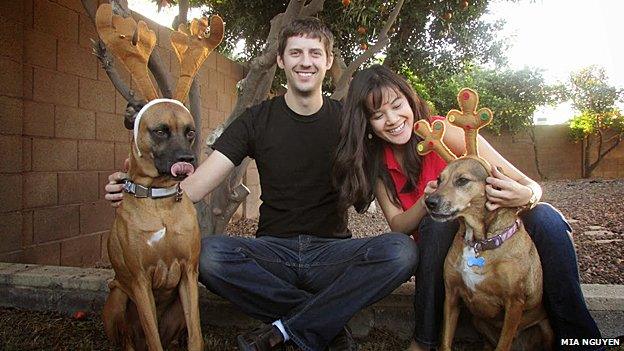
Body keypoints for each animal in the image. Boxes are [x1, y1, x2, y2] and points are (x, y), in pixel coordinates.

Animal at [101, 99, 201, 351]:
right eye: (160, 131)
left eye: (190, 132)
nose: (188, 159)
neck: (159, 199)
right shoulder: (140, 280)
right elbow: (152, 336)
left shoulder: (189, 272)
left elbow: (196, 335)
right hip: (117, 297)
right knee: (127, 339)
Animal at [424, 158, 552, 350]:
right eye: (439, 181)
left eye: (462, 180)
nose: (429, 202)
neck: (478, 242)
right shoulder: (451, 295)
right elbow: (446, 341)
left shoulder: (514, 303)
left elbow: (503, 344)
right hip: (478, 321)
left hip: (546, 327)